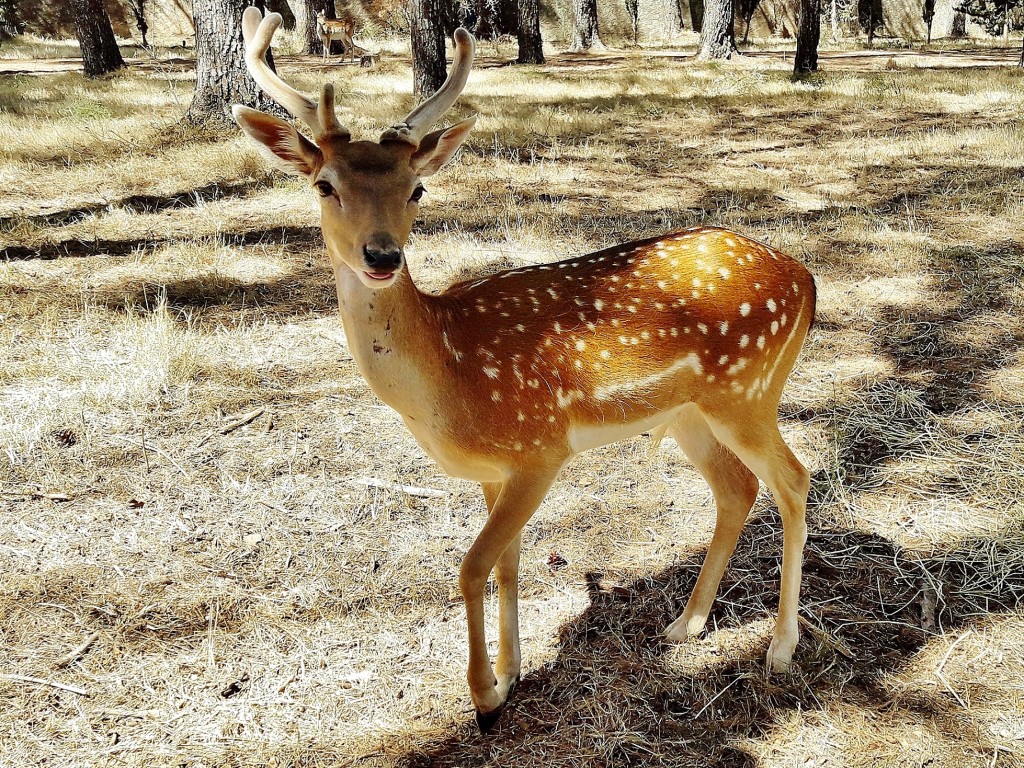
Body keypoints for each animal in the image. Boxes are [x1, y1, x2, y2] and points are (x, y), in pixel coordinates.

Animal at [232, 10, 815, 733]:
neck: (446, 375)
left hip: (748, 392)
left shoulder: (540, 449)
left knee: (794, 479)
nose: (381, 256)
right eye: (324, 184)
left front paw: (483, 696)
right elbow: (507, 565)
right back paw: (687, 623)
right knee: (737, 488)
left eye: (417, 187)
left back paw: (781, 648)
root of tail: (806, 277)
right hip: (691, 411)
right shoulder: (494, 470)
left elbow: (472, 565)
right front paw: (512, 674)